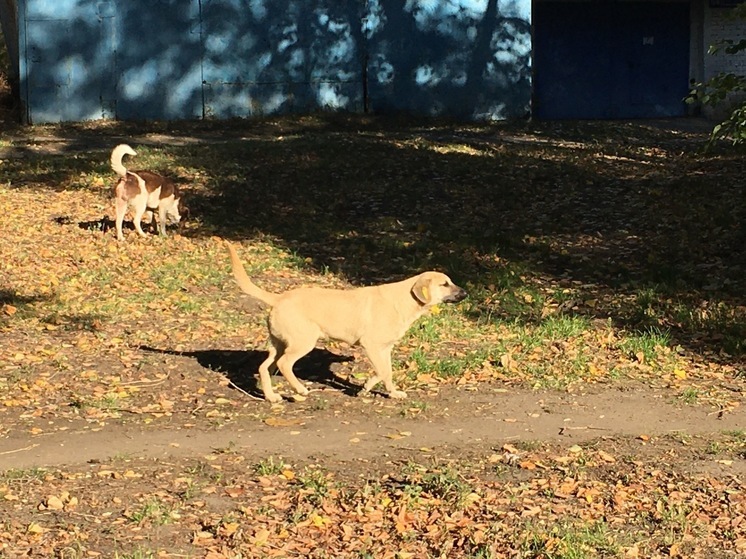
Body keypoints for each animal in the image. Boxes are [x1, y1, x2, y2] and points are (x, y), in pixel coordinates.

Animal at [225, 241, 464, 402]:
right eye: (444, 284)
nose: (466, 293)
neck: (404, 300)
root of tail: (279, 297)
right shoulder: (372, 346)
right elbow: (382, 372)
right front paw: (365, 387)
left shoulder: (385, 349)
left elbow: (387, 372)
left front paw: (391, 392)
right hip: (302, 343)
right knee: (285, 365)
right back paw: (300, 389)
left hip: (279, 344)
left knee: (264, 367)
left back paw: (271, 396)